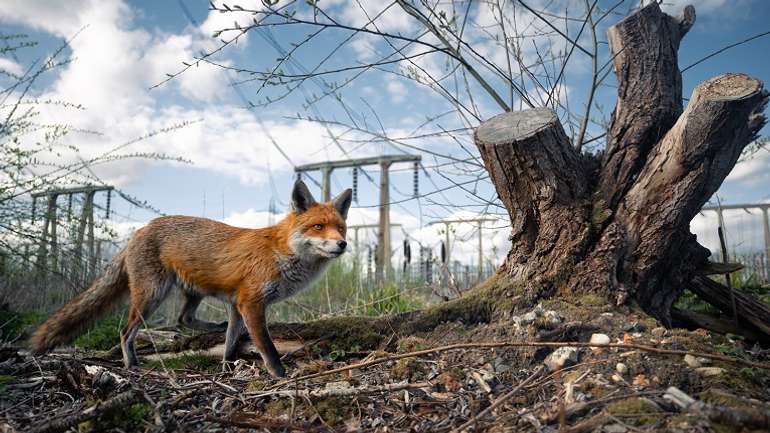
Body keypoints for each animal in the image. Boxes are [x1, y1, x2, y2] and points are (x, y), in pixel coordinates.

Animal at [28, 179, 352, 374]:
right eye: (318, 227)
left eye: (341, 228)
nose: (343, 244)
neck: (281, 252)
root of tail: (141, 229)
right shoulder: (251, 302)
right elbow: (267, 347)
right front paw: (279, 374)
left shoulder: (237, 304)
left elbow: (231, 341)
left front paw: (226, 365)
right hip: (152, 295)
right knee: (126, 332)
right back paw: (132, 363)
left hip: (192, 291)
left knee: (183, 319)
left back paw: (209, 327)